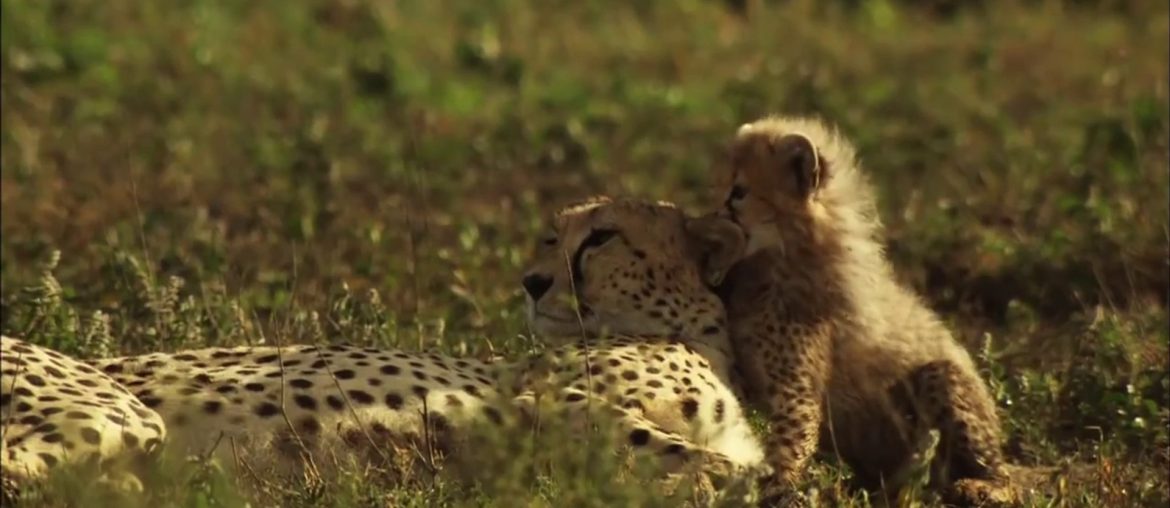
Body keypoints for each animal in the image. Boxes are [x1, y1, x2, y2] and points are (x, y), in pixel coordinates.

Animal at [711, 115, 1015, 503]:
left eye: (738, 192)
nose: (712, 215)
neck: (779, 259)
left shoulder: (796, 393)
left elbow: (788, 443)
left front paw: (771, 488)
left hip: (941, 378)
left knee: (1001, 476)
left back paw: (979, 488)